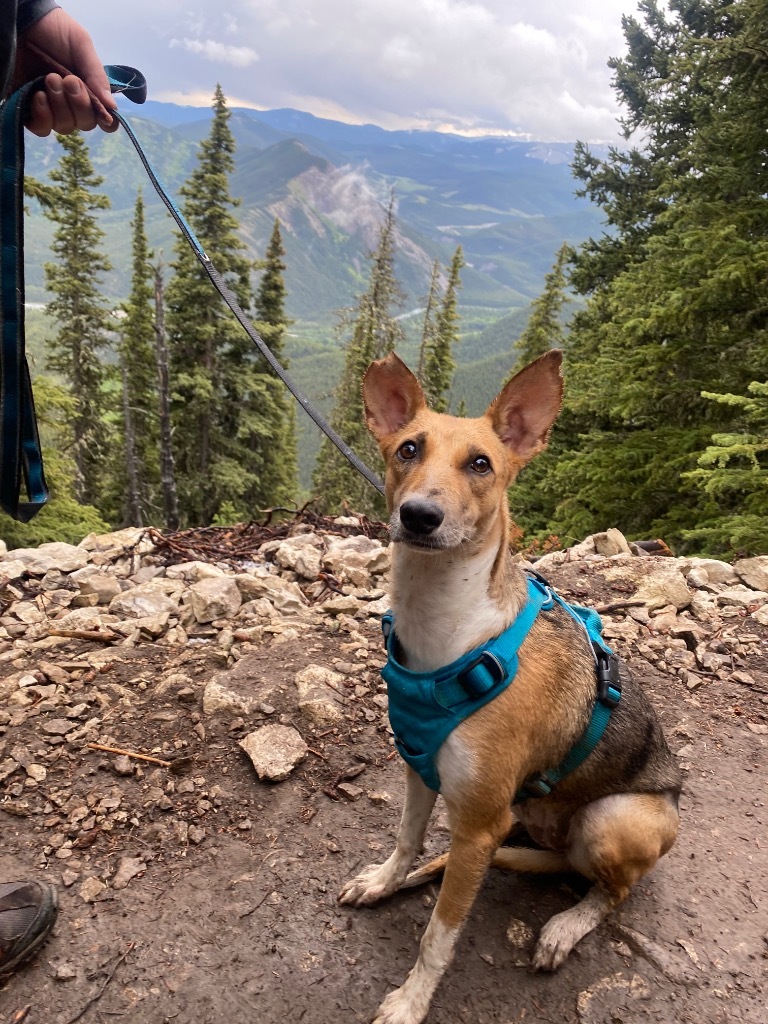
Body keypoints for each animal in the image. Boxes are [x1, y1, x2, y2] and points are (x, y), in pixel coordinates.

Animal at [339, 350, 684, 1024]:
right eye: (407, 449)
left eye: (481, 464)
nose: (419, 515)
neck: (447, 634)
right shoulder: (420, 770)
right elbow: (406, 841)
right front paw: (386, 881)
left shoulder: (477, 824)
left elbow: (438, 935)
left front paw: (411, 1001)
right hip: (526, 819)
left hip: (613, 818)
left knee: (612, 893)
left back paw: (566, 926)